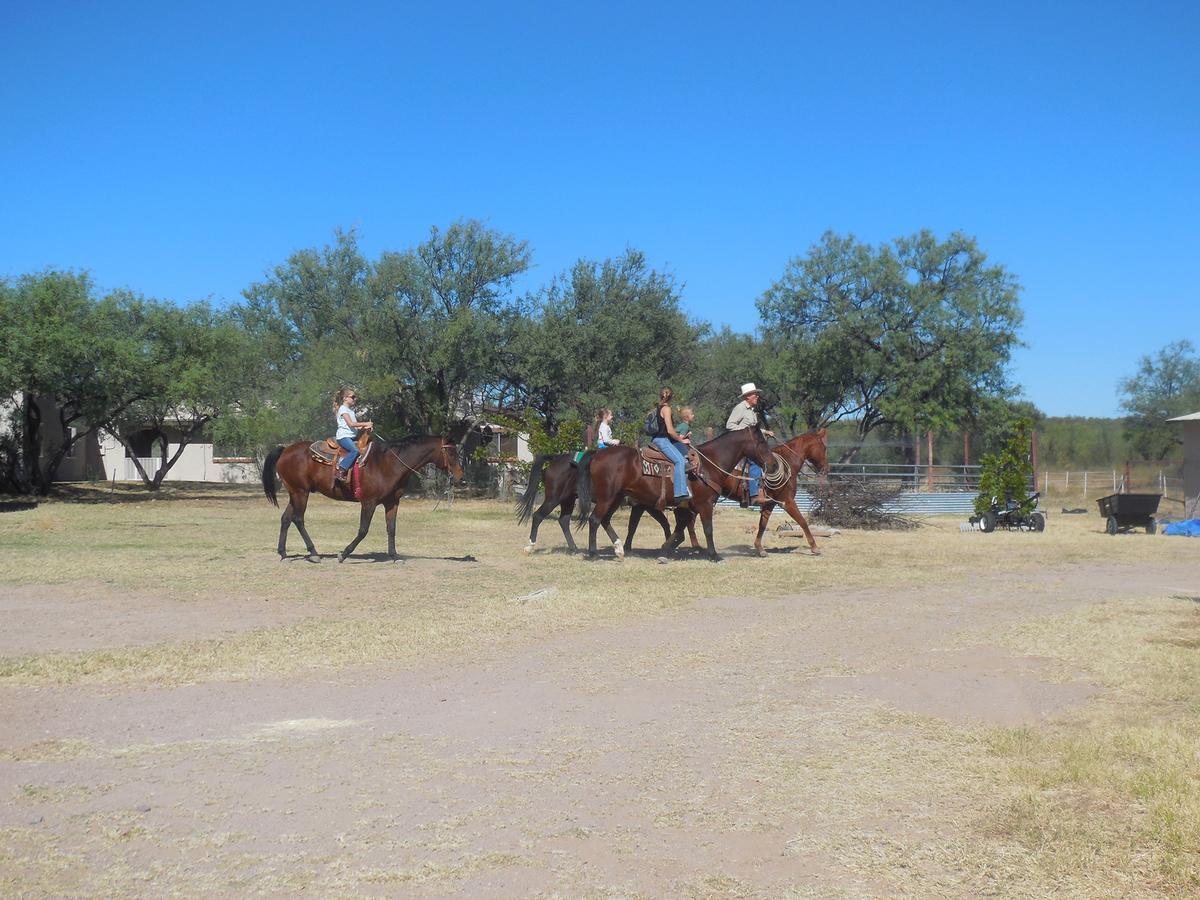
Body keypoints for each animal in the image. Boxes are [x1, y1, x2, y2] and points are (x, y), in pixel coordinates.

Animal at [262, 436, 463, 564]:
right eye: (452, 454)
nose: (460, 475)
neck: (388, 463)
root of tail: (285, 450)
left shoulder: (392, 502)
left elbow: (391, 529)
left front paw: (394, 556)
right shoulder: (369, 502)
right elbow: (363, 530)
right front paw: (343, 554)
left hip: (295, 493)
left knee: (286, 519)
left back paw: (283, 553)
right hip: (301, 493)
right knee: (298, 519)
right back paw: (314, 553)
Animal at [513, 453, 696, 554]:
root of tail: (556, 458)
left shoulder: (643, 507)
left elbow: (640, 525)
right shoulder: (645, 506)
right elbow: (646, 525)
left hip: (569, 499)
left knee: (564, 520)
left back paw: (574, 549)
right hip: (554, 497)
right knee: (538, 516)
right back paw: (530, 547)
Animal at [578, 427, 768, 561]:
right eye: (761, 440)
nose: (771, 461)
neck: (708, 464)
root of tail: (597, 454)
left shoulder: (686, 508)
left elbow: (679, 530)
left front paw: (665, 550)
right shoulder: (704, 504)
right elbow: (707, 529)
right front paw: (714, 555)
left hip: (615, 498)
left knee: (604, 520)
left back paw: (619, 549)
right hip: (606, 498)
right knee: (594, 520)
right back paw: (593, 553)